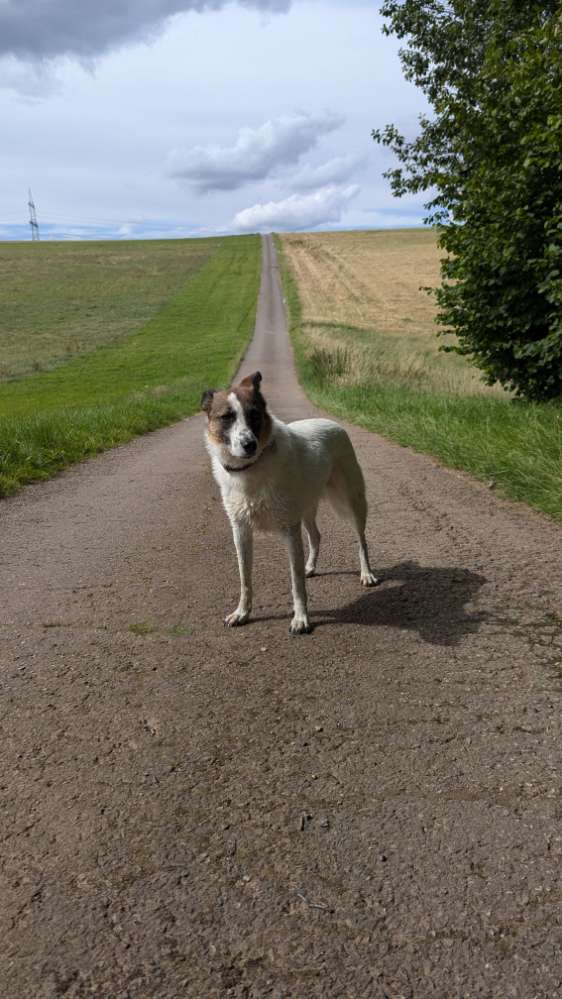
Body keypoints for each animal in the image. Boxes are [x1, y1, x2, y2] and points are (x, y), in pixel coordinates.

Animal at [201, 372, 376, 636]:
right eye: (227, 417)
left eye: (254, 414)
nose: (249, 444)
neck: (252, 467)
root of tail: (333, 423)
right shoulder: (241, 531)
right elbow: (245, 579)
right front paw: (242, 613)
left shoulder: (289, 531)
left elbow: (296, 582)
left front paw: (301, 618)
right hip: (306, 508)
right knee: (316, 535)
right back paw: (310, 566)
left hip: (351, 502)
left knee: (362, 541)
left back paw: (366, 574)